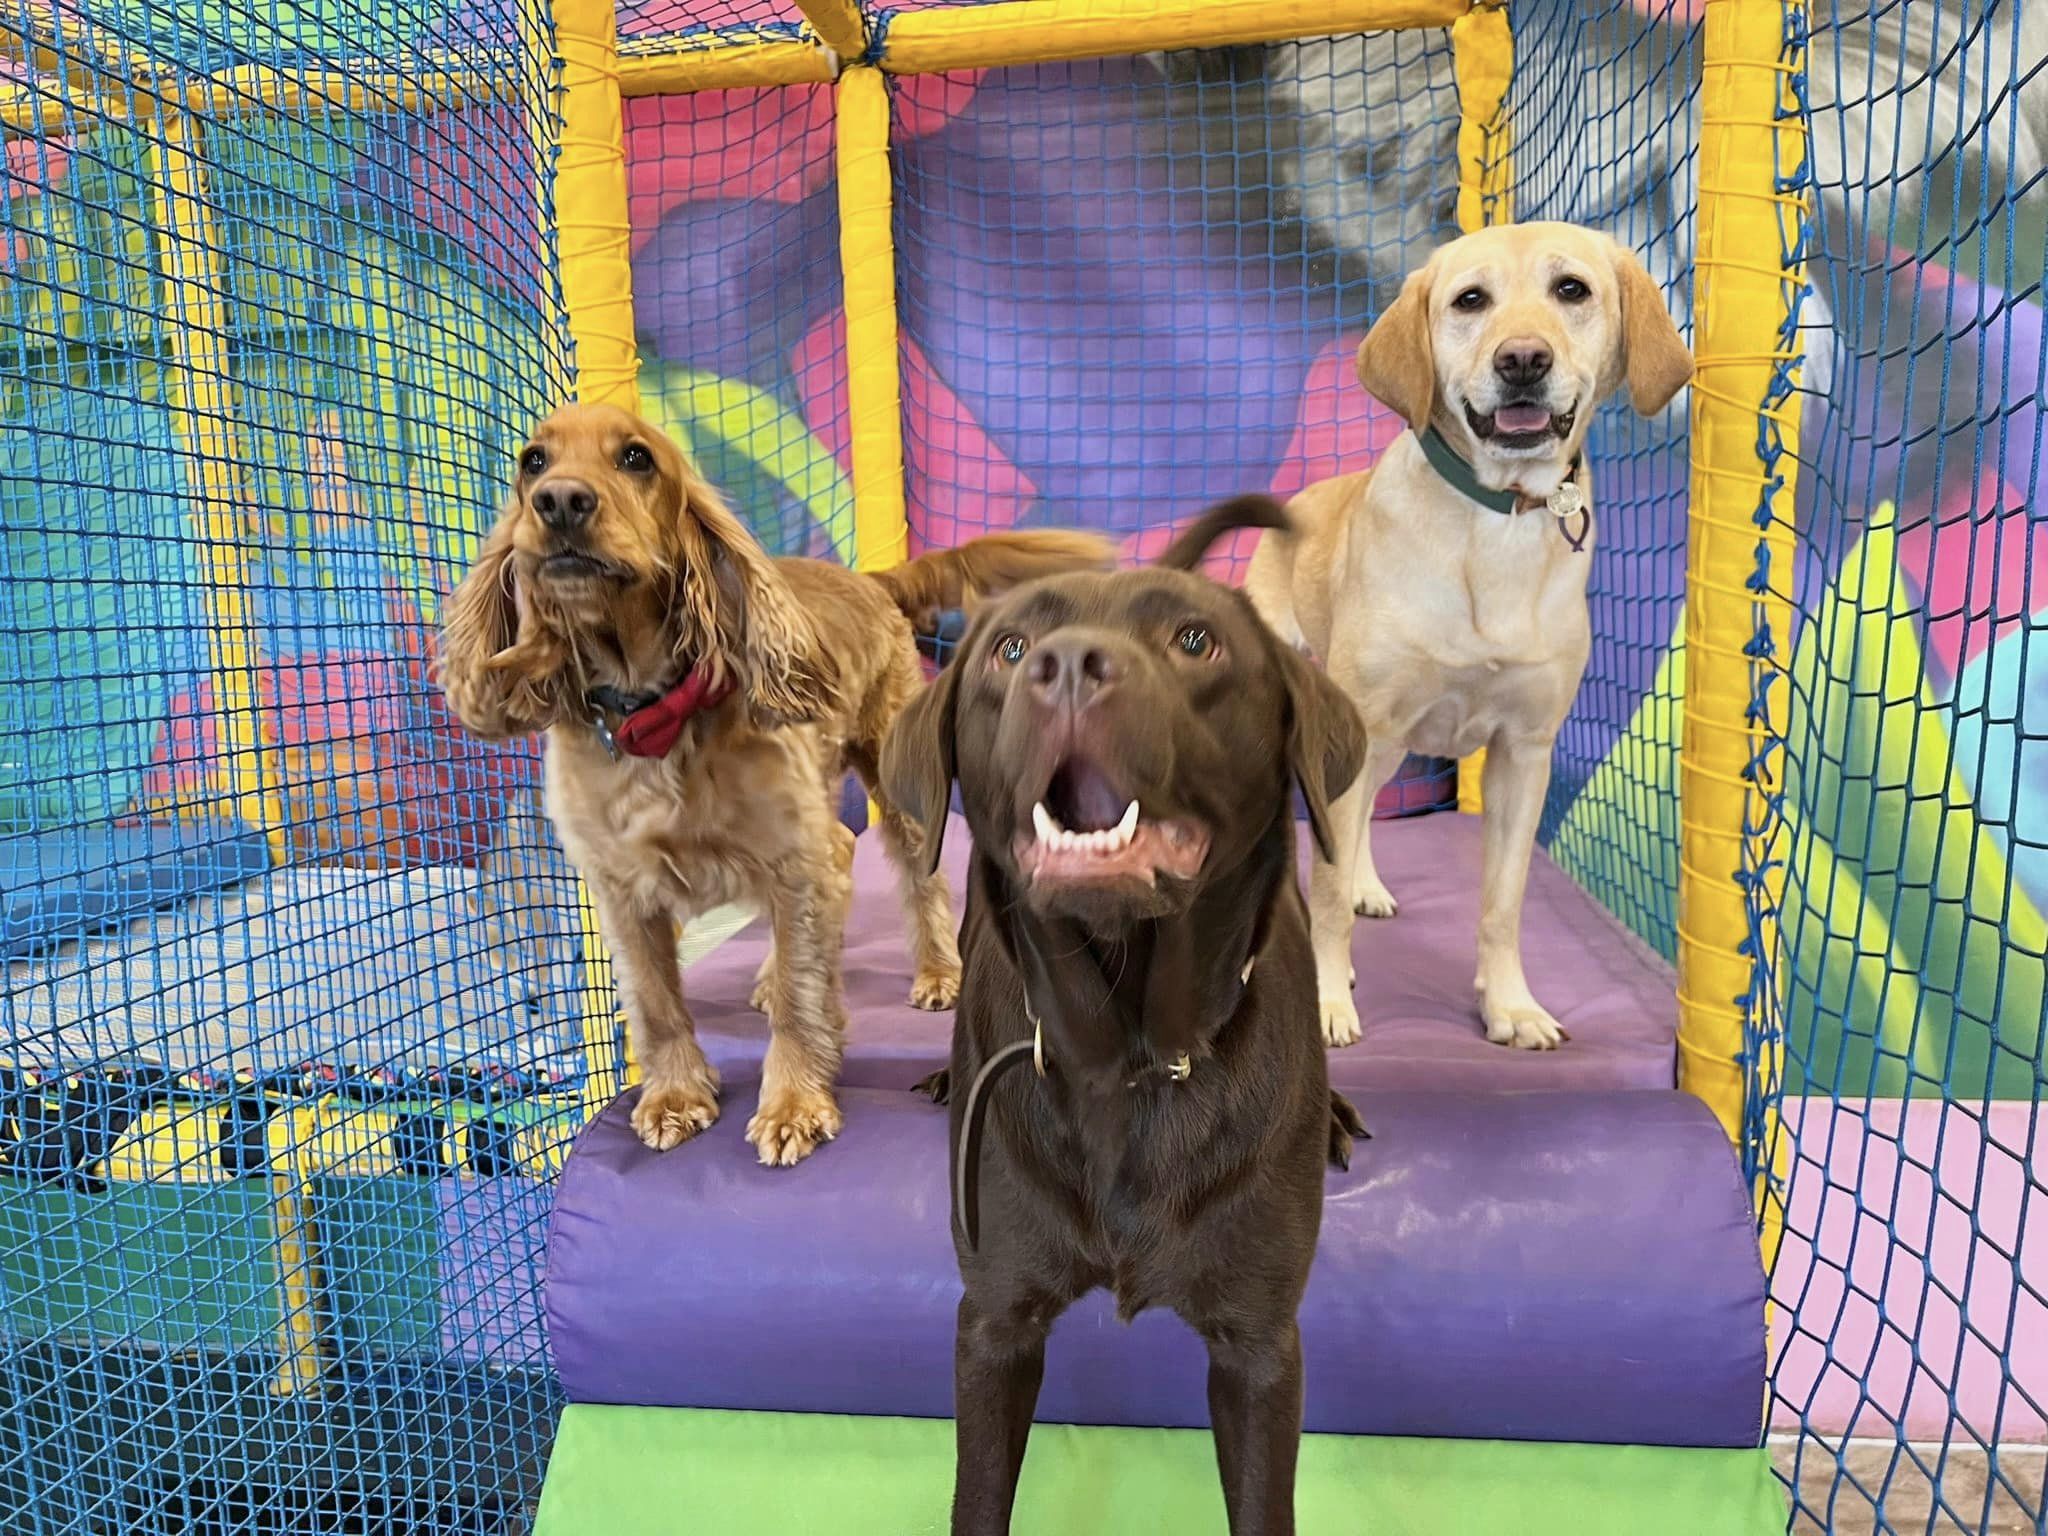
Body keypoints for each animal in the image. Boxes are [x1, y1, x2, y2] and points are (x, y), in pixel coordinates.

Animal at [438, 405, 1114, 1163]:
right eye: (533, 462)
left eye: (637, 459)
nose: (559, 502)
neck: (653, 718)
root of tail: (872, 580)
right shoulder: (623, 893)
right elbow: (657, 1003)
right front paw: (675, 1095)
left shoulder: (793, 859)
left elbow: (801, 997)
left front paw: (794, 1104)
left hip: (891, 785)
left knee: (917, 881)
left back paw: (938, 972)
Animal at [880, 499, 1359, 1531]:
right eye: (1011, 648)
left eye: (1195, 640)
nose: (1067, 665)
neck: (1129, 1057)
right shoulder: (994, 1322)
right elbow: (979, 1495)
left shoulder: (1261, 1348)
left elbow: (1262, 1498)